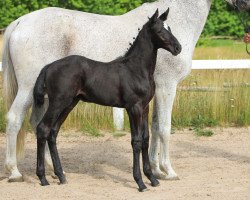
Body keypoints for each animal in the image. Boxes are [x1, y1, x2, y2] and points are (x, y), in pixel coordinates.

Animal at [33, 8, 182, 191]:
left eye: (170, 28)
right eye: (160, 31)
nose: (178, 48)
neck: (137, 69)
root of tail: (48, 66)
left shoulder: (145, 107)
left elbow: (145, 139)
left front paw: (152, 179)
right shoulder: (134, 108)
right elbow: (136, 141)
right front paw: (140, 182)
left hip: (69, 103)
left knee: (53, 132)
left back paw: (61, 176)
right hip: (58, 102)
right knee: (43, 129)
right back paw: (42, 178)